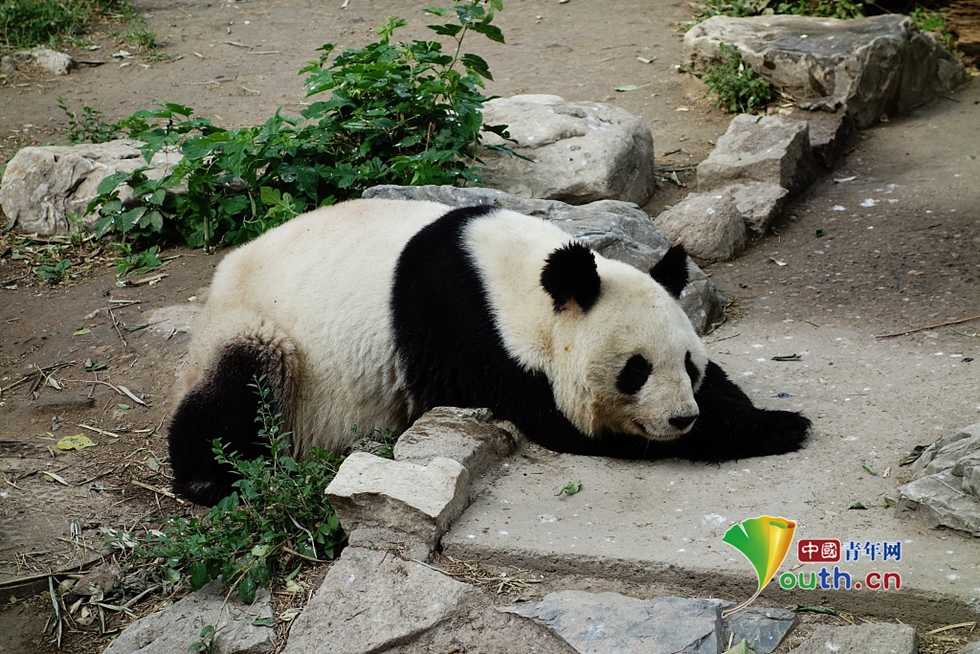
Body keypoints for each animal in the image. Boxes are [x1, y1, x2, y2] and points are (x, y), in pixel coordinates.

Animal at [168, 200, 812, 508]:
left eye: (689, 365)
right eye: (636, 371)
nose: (681, 419)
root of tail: (217, 285)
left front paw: (766, 414)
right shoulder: (468, 338)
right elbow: (565, 423)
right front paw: (774, 428)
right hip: (267, 333)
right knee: (243, 385)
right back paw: (212, 479)